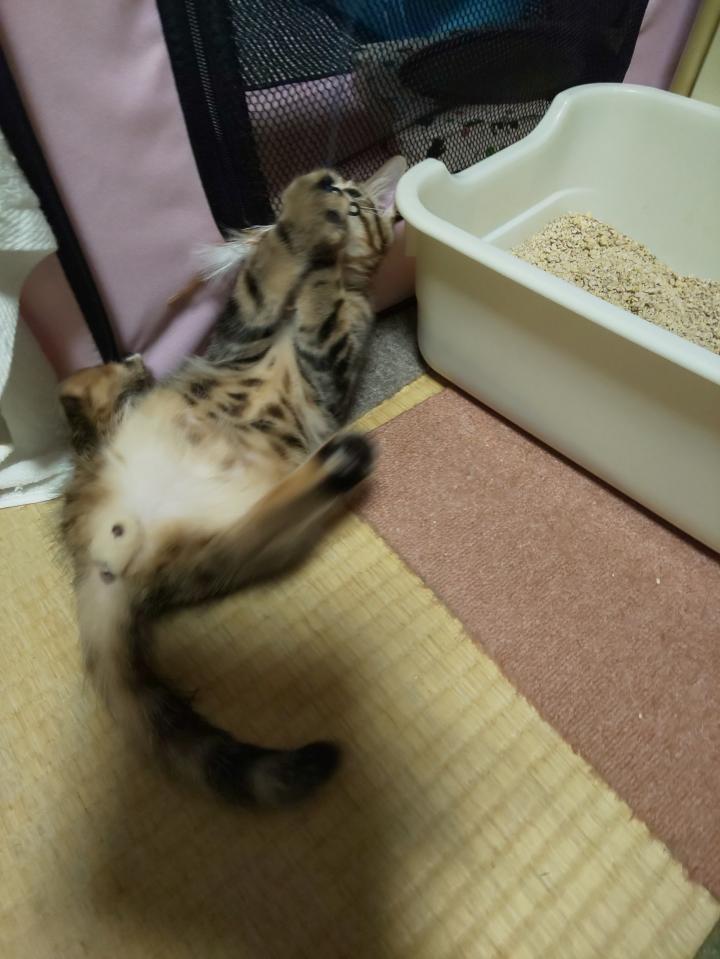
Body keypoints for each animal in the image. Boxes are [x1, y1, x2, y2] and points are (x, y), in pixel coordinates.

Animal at [58, 156, 406, 807]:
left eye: (360, 201)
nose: (339, 193)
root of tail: (106, 562)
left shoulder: (334, 363)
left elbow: (317, 307)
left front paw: (317, 245)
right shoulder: (241, 328)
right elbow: (264, 274)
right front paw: (300, 220)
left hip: (230, 550)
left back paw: (339, 463)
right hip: (128, 464)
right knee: (81, 404)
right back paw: (116, 369)